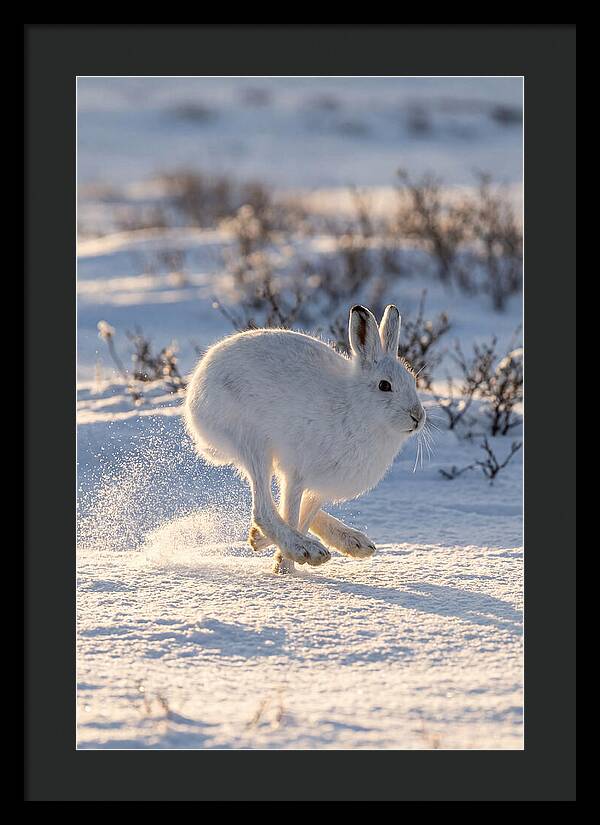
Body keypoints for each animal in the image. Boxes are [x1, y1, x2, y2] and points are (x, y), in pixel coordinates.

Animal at [184, 304, 425, 573]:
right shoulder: (298, 473)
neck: (355, 407)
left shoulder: (320, 486)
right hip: (252, 442)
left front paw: (278, 558)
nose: (418, 416)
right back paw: (304, 548)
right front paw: (287, 567)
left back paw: (351, 542)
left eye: (413, 381)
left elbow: (304, 515)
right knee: (263, 509)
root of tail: (195, 390)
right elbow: (291, 513)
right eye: (385, 385)